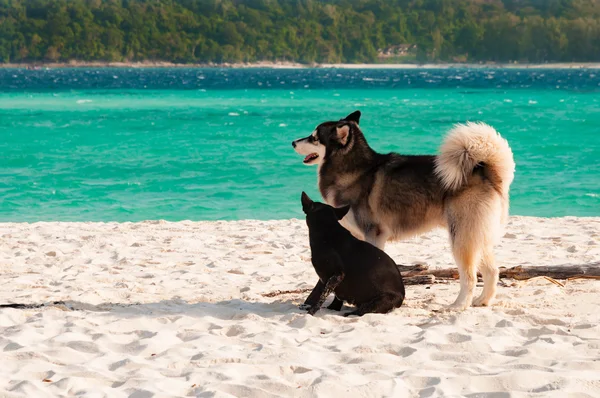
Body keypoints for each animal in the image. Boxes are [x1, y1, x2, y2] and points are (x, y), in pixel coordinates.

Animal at [292, 112, 516, 310]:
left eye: (314, 137)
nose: (293, 142)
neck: (355, 170)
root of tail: (485, 171)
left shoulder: (374, 234)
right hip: (478, 236)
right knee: (492, 271)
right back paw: (483, 301)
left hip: (461, 238)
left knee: (469, 277)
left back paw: (459, 305)